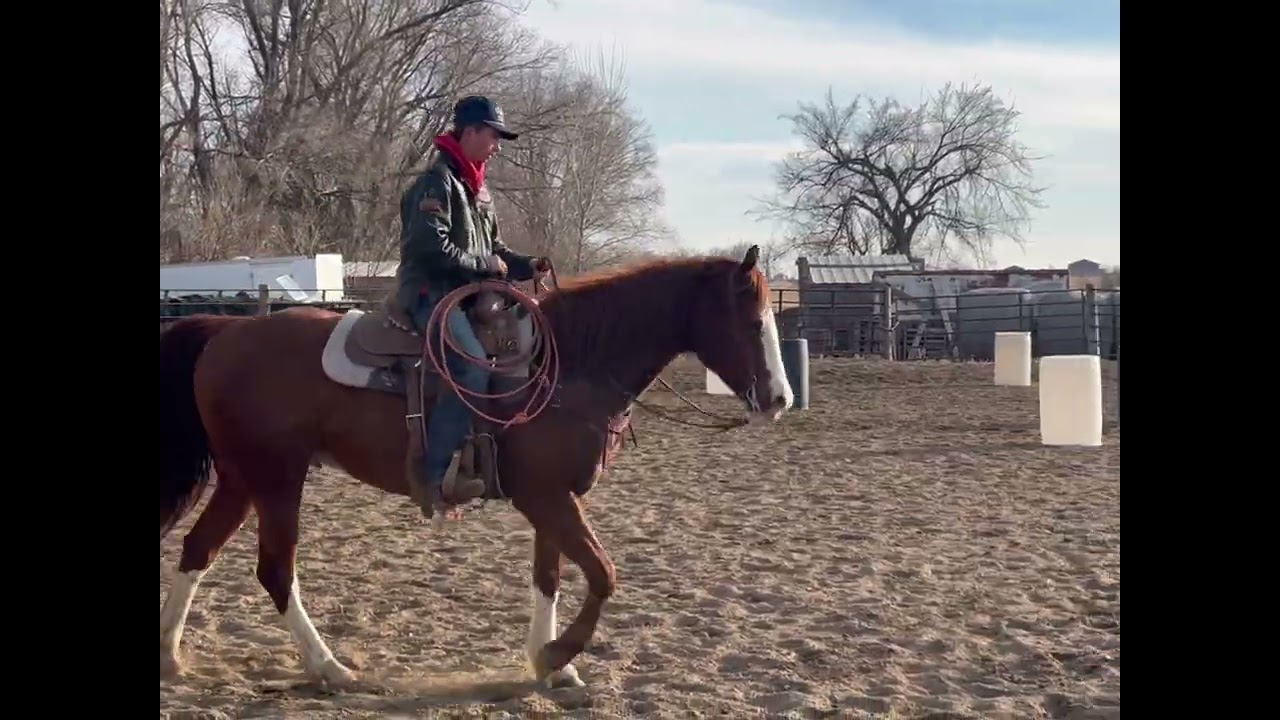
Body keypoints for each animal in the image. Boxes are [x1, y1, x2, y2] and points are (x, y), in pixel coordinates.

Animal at [159, 245, 794, 692]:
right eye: (751, 321)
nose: (781, 400)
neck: (567, 364)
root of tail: (230, 329)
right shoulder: (544, 497)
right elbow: (603, 574)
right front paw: (557, 654)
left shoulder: (555, 497)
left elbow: (551, 577)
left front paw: (550, 664)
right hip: (277, 479)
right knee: (275, 570)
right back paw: (331, 668)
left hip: (243, 478)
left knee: (198, 549)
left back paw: (170, 655)